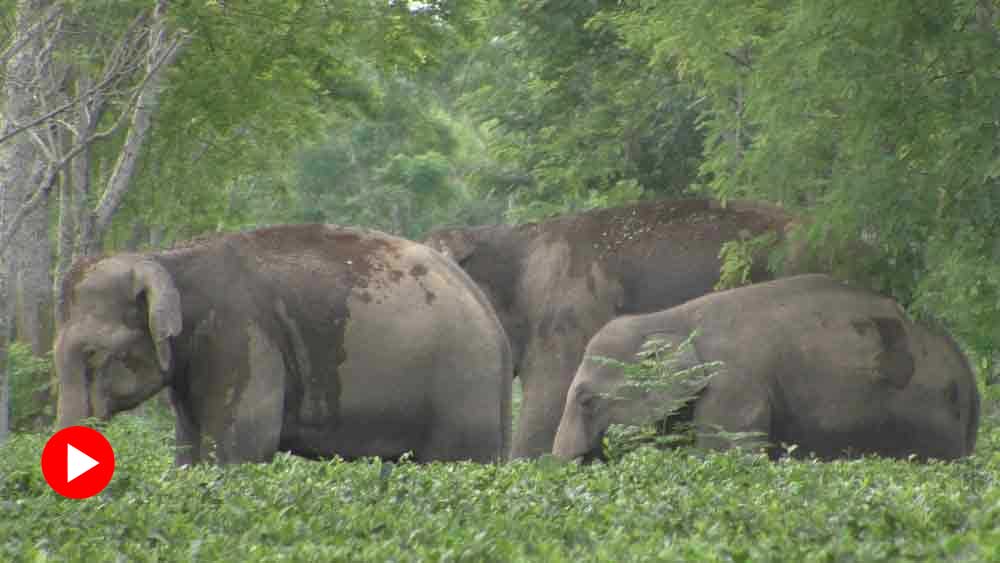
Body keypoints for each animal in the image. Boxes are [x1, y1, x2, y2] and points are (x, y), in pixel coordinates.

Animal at [55, 225, 512, 468]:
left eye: (93, 354)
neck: (165, 258)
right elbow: (189, 445)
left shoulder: (242, 338)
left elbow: (241, 447)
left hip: (462, 388)